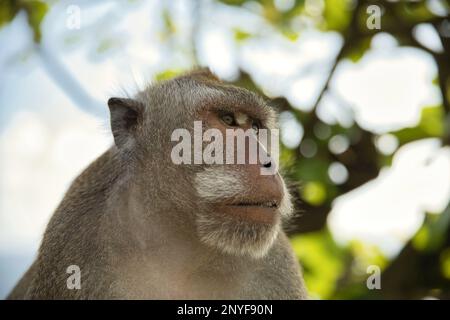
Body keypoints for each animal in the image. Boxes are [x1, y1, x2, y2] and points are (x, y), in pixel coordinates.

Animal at [7, 69, 308, 298]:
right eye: (228, 120)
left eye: (256, 128)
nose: (269, 164)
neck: (181, 248)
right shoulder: (71, 242)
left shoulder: (276, 265)